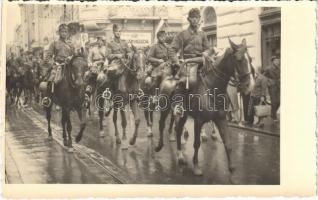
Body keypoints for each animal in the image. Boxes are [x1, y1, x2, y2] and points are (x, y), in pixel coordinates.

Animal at [156, 38, 253, 176]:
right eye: (239, 60)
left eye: (250, 59)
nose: (249, 86)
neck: (213, 87)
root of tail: (168, 77)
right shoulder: (199, 120)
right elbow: (196, 143)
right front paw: (196, 167)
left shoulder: (221, 119)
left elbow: (228, 143)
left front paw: (232, 167)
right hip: (165, 110)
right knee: (161, 125)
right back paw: (159, 146)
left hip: (184, 115)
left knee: (178, 130)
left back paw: (180, 156)